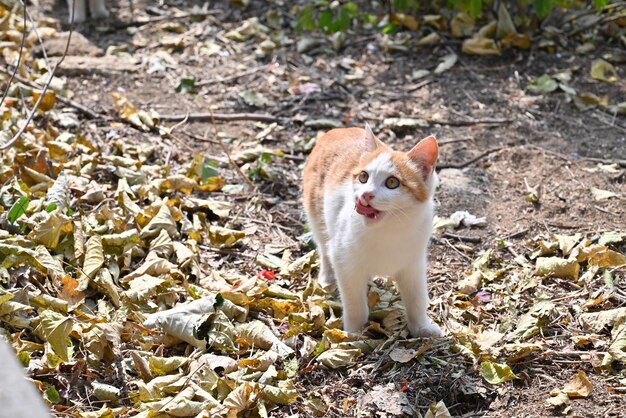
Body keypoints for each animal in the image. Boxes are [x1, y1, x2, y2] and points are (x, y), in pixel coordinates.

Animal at [302, 123, 438, 336]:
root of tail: (338, 130)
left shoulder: (413, 263)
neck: (389, 229)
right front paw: (354, 332)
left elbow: (416, 297)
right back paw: (327, 276)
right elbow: (354, 302)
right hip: (315, 211)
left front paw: (421, 327)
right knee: (324, 246)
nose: (366, 195)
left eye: (392, 182)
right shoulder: (345, 262)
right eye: (363, 177)